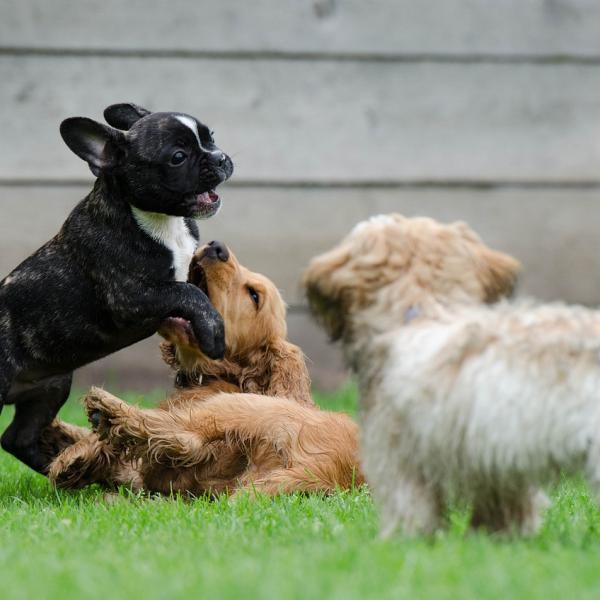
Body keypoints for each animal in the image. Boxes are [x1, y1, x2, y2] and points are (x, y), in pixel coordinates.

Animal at [47, 241, 364, 494]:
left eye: (254, 296)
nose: (216, 247)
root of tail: (326, 469)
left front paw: (74, 454)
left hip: (241, 408)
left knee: (183, 436)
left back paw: (106, 410)